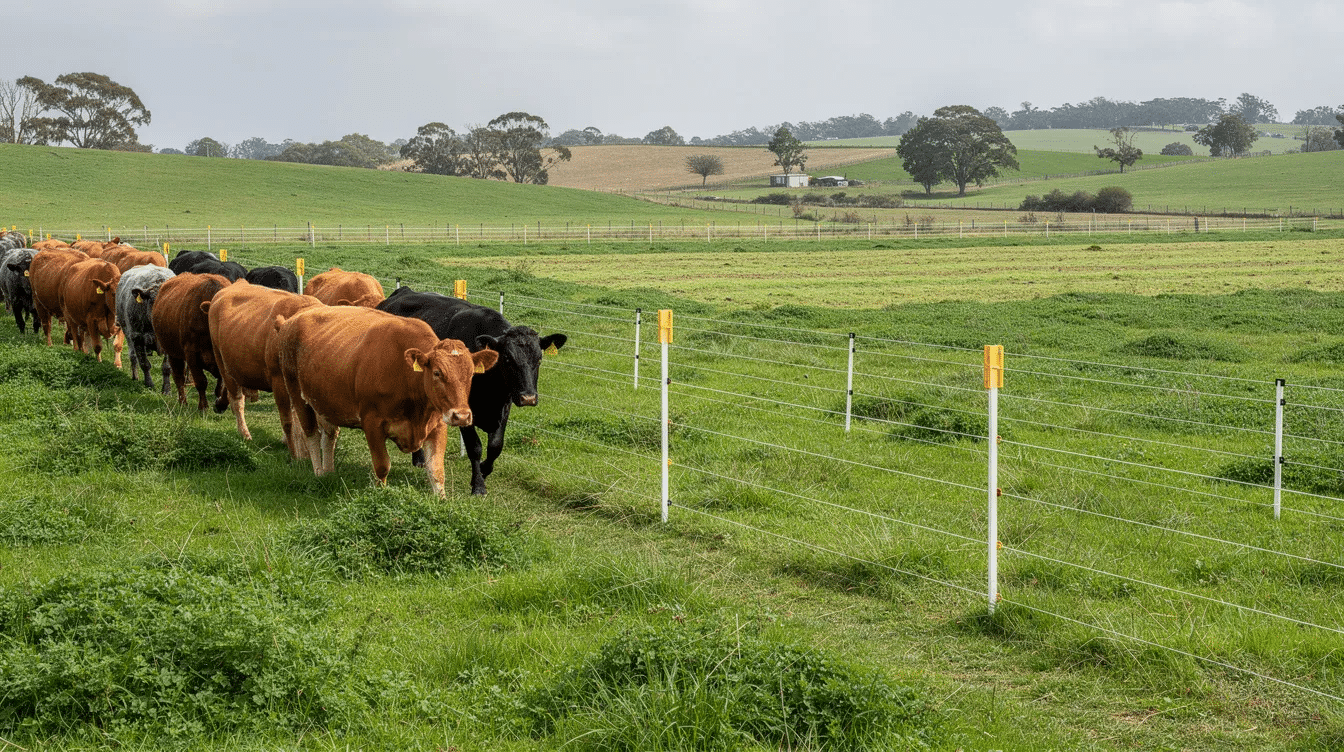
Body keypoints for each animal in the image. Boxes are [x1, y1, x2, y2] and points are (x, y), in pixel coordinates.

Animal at [152, 273, 233, 409]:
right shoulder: (191, 353)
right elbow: (201, 381)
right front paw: (203, 406)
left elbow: (223, 384)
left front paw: (220, 403)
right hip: (173, 353)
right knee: (178, 377)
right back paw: (183, 402)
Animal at [207, 281, 323, 453]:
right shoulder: (278, 380)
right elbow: (287, 419)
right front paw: (291, 449)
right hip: (222, 363)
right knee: (237, 400)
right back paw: (244, 433)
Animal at [276, 305, 497, 496]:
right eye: (437, 373)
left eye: (471, 375)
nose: (462, 416)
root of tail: (293, 319)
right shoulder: (372, 424)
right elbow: (382, 466)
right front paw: (381, 494)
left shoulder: (437, 424)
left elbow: (436, 470)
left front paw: (441, 501)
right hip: (297, 394)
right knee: (312, 435)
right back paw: (319, 473)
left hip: (326, 403)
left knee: (329, 436)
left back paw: (329, 471)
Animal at [376, 286, 567, 495]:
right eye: (507, 359)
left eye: (539, 359)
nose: (528, 398)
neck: (492, 392)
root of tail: (402, 291)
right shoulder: (464, 409)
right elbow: (474, 447)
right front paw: (478, 485)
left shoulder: (504, 406)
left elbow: (495, 446)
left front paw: (484, 470)